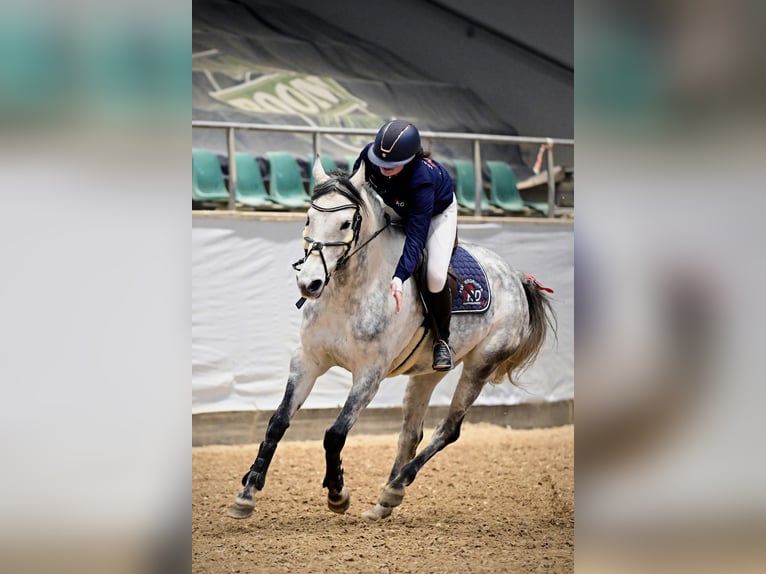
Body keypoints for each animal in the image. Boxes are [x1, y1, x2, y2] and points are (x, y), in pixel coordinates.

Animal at [230, 158, 560, 520]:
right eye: (308, 219)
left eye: (346, 223)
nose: (310, 284)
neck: (349, 291)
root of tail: (516, 278)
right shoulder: (308, 360)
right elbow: (277, 422)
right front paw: (247, 493)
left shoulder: (369, 374)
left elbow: (335, 433)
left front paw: (337, 493)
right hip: (427, 373)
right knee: (410, 433)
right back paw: (385, 500)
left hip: (482, 363)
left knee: (449, 428)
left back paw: (396, 485)